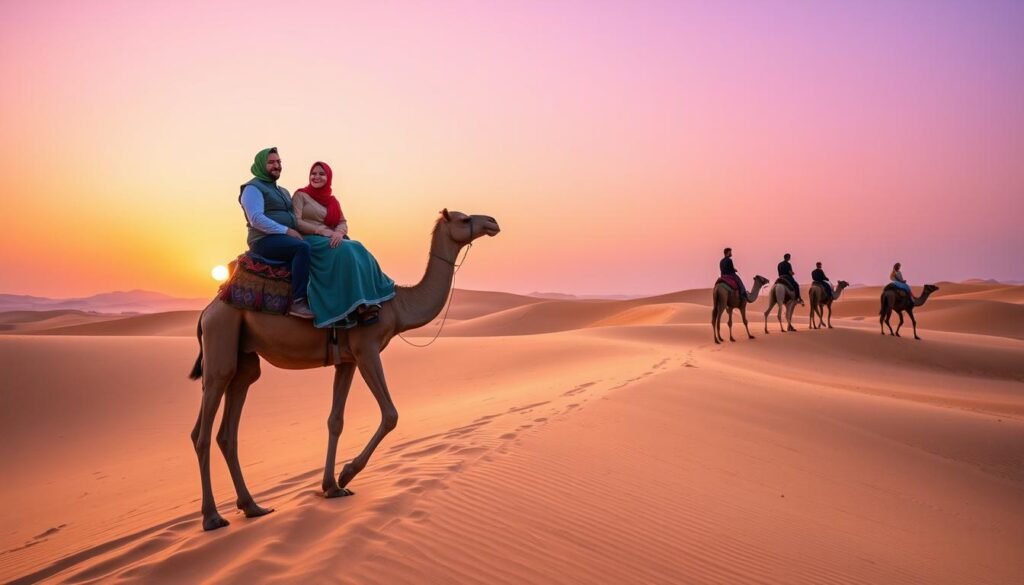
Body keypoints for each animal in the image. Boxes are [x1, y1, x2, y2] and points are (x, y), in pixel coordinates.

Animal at [188, 209, 500, 531]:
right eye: (464, 220)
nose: (492, 222)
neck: (397, 306)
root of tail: (208, 309)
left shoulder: (347, 360)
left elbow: (335, 421)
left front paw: (332, 487)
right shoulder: (366, 349)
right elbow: (391, 414)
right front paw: (347, 473)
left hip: (244, 358)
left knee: (228, 429)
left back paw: (252, 506)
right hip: (221, 339)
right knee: (203, 430)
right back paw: (212, 517)